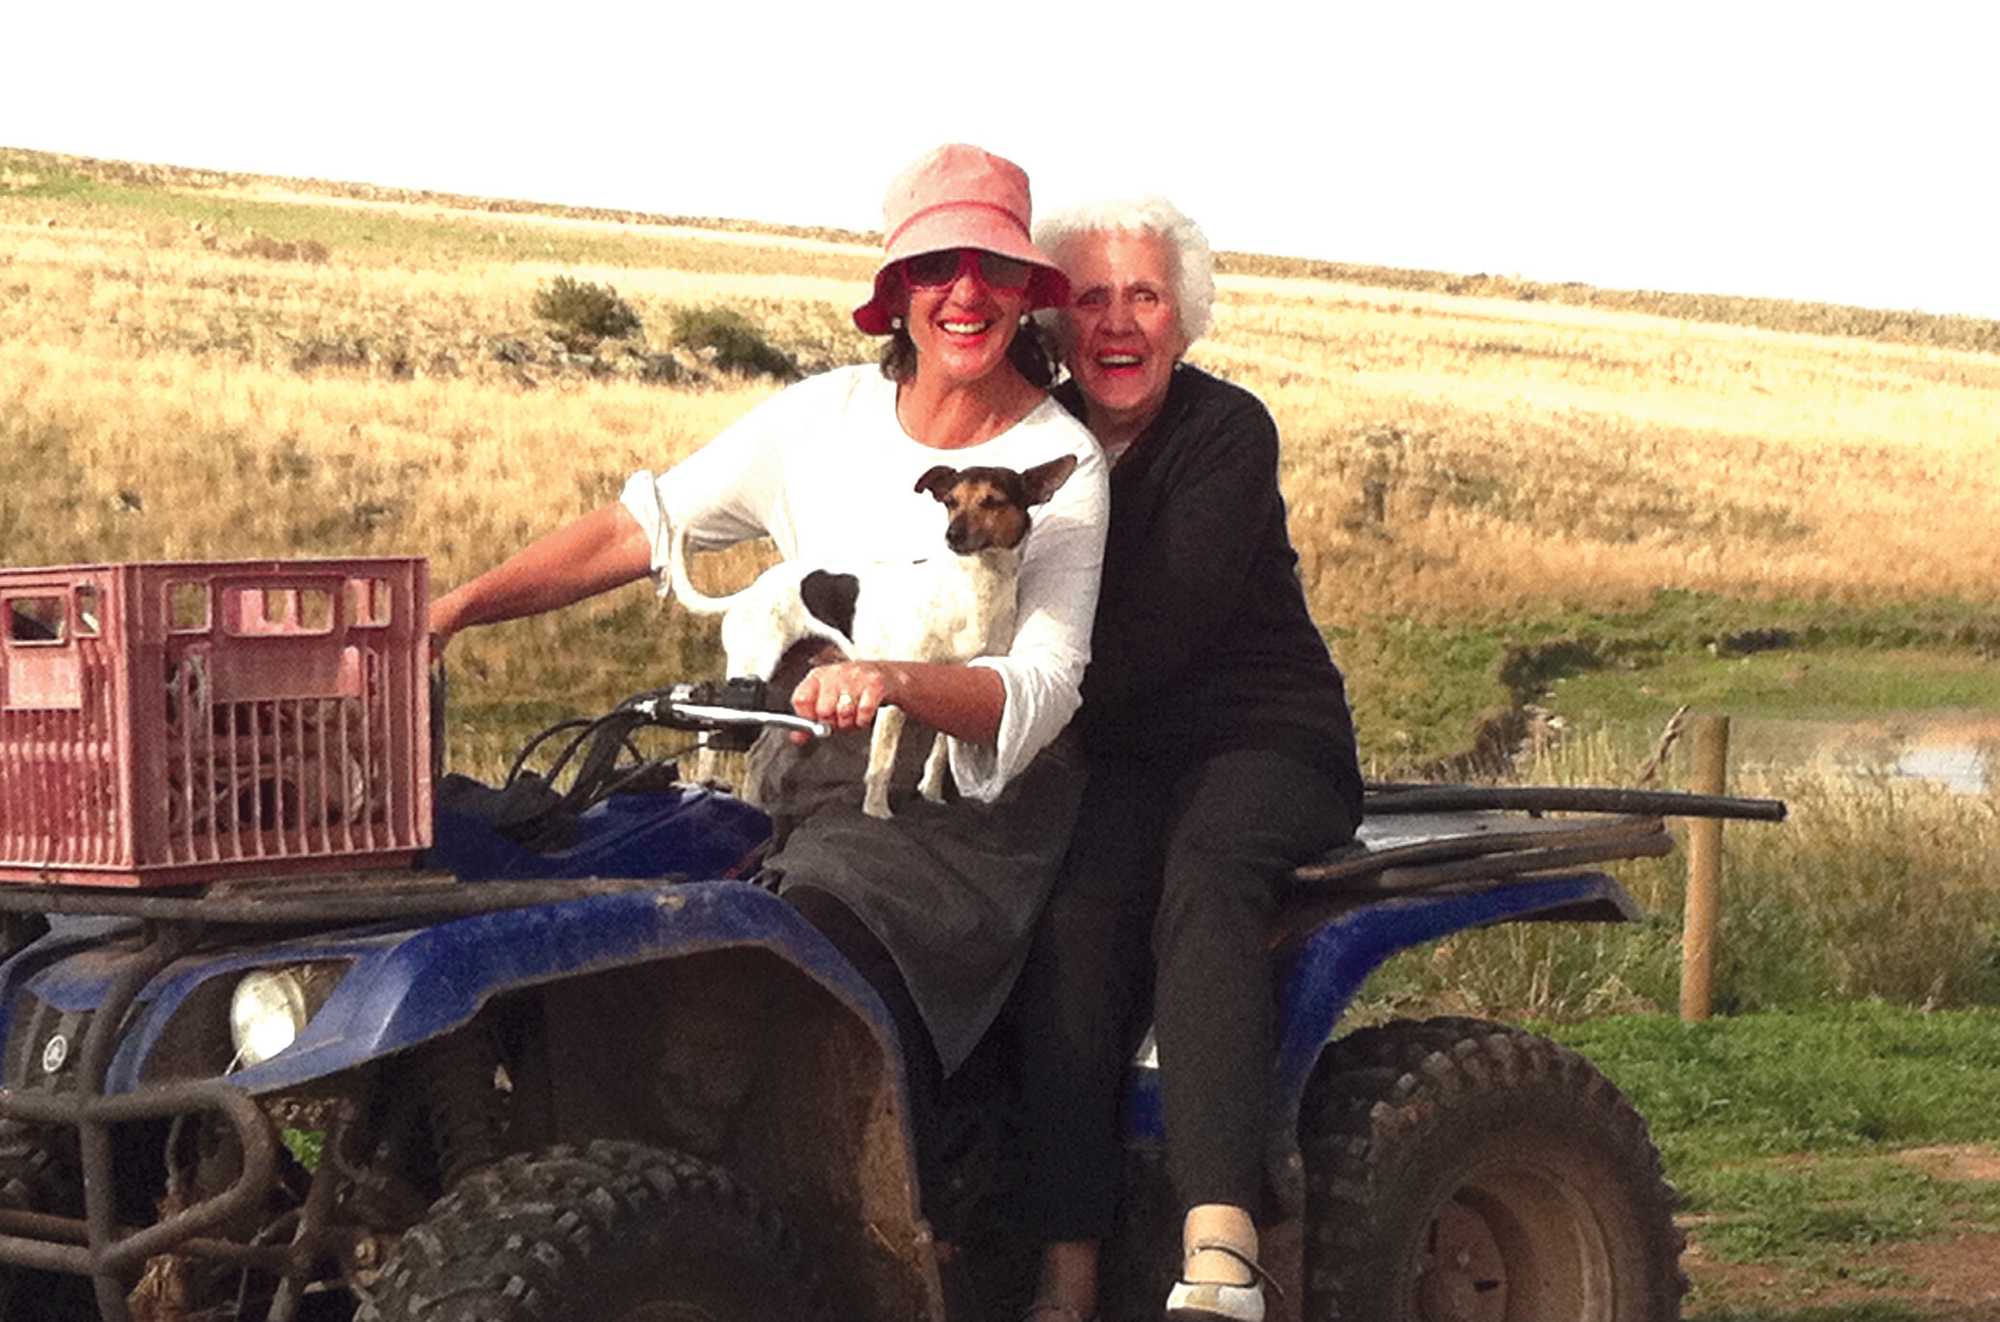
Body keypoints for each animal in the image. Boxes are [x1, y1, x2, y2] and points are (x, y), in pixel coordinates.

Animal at [672, 452, 1080, 816]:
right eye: (950, 502)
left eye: (993, 501)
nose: (953, 535)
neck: (973, 588)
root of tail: (749, 592)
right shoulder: (893, 701)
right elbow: (882, 765)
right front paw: (877, 811)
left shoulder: (958, 689)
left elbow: (938, 757)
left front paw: (932, 794)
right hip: (750, 674)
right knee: (709, 732)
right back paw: (705, 783)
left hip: (779, 687)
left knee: (751, 750)